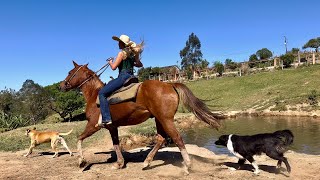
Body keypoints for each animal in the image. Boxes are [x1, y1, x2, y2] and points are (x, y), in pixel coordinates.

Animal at [60, 61, 222, 172]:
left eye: (70, 72)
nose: (61, 86)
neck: (95, 95)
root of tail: (170, 85)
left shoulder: (93, 125)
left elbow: (79, 138)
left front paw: (81, 161)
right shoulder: (112, 127)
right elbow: (116, 144)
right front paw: (119, 163)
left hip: (166, 120)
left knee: (177, 138)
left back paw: (187, 166)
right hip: (159, 119)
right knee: (161, 139)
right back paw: (147, 162)